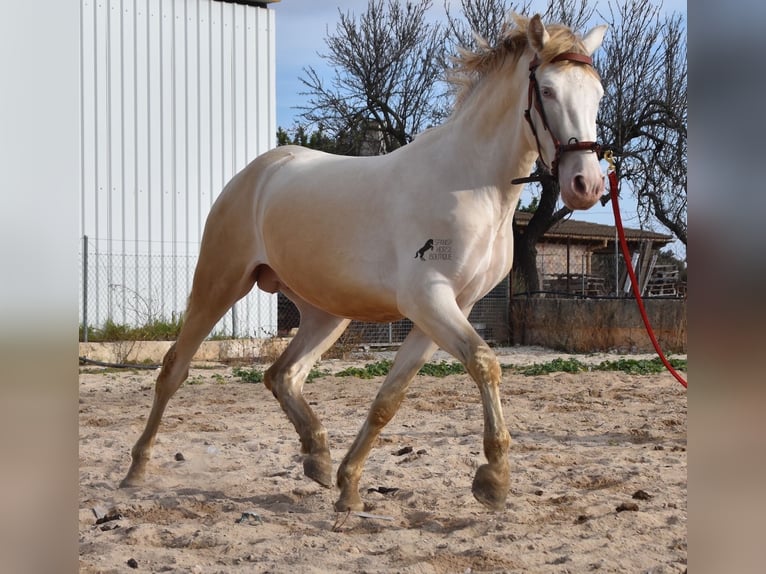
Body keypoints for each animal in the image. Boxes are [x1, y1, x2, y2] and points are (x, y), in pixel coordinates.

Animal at [121, 13, 612, 512]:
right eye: (547, 90)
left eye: (597, 92)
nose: (586, 185)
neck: (472, 185)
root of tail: (256, 173)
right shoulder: (428, 300)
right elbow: (484, 362)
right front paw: (494, 479)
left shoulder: (451, 308)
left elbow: (388, 399)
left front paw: (349, 485)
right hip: (219, 283)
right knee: (174, 369)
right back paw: (136, 469)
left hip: (326, 312)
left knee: (282, 375)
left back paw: (317, 458)